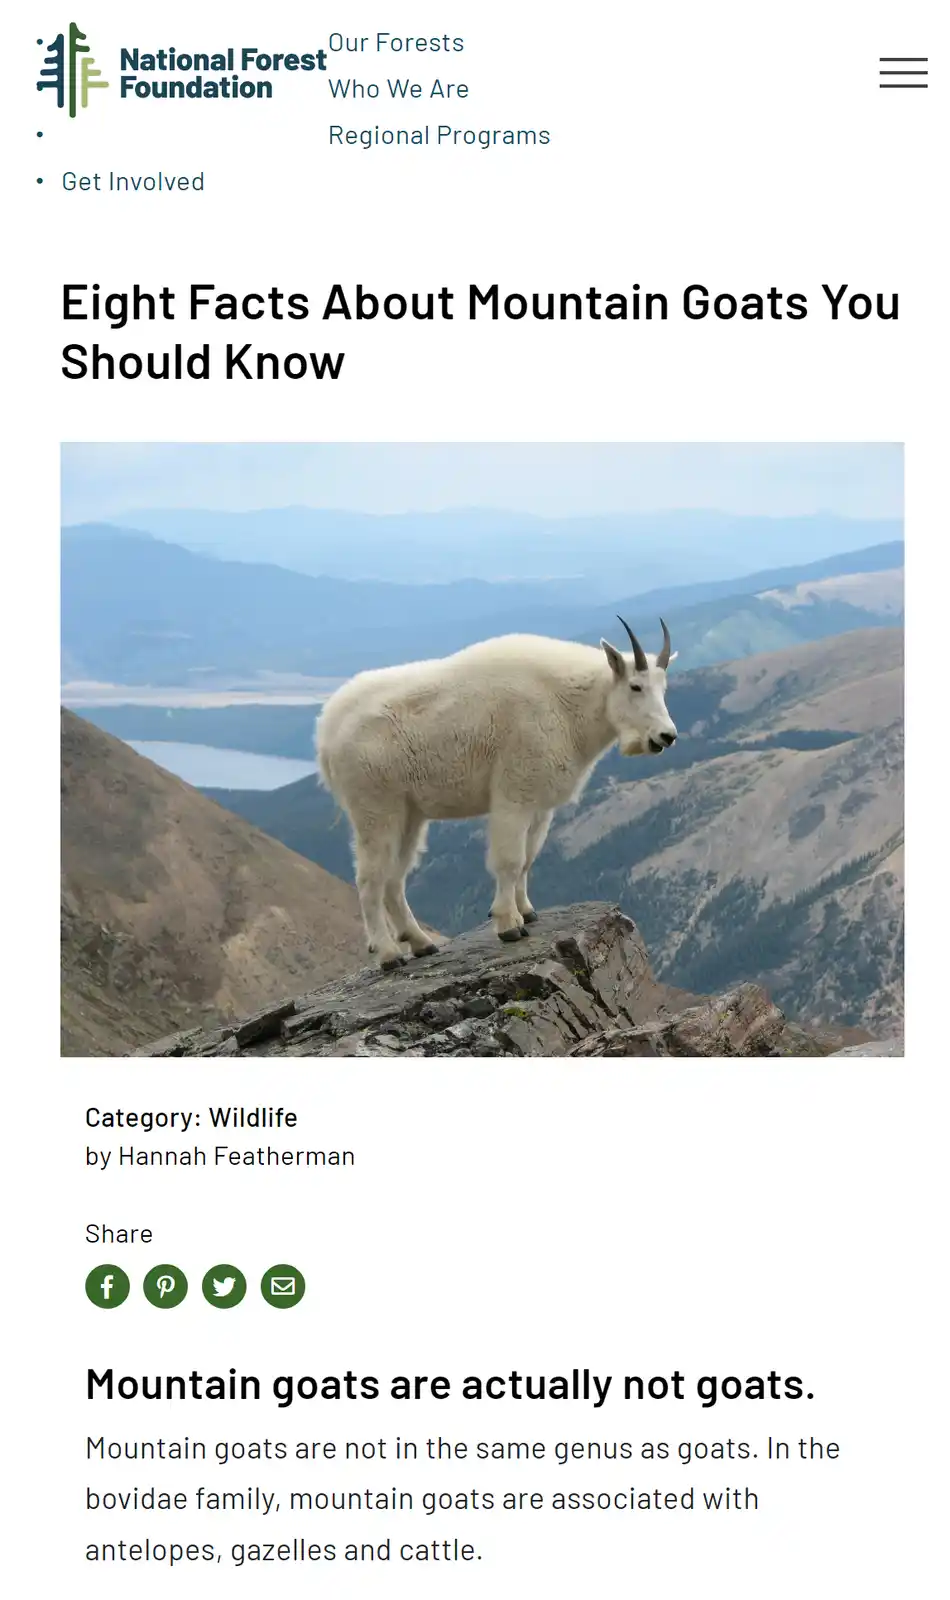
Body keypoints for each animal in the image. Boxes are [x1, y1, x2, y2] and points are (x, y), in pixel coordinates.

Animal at [317, 618, 677, 968]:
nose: (667, 736)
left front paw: (527, 912)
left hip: (410, 814)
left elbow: (528, 859)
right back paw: (388, 953)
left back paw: (421, 943)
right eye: (635, 686)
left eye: (664, 688)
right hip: (375, 807)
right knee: (370, 879)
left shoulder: (539, 805)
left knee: (394, 878)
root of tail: (326, 730)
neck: (569, 702)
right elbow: (510, 860)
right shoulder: (513, 795)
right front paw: (508, 924)